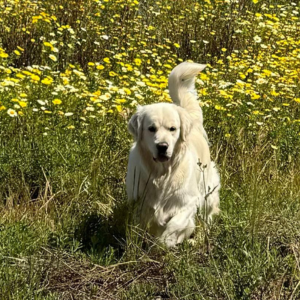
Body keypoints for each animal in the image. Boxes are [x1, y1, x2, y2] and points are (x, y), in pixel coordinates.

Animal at [125, 62, 219, 247]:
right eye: (151, 128)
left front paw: (166, 241)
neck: (161, 174)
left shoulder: (189, 201)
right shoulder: (138, 200)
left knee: (207, 220)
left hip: (208, 193)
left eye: (172, 129)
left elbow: (175, 224)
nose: (162, 146)